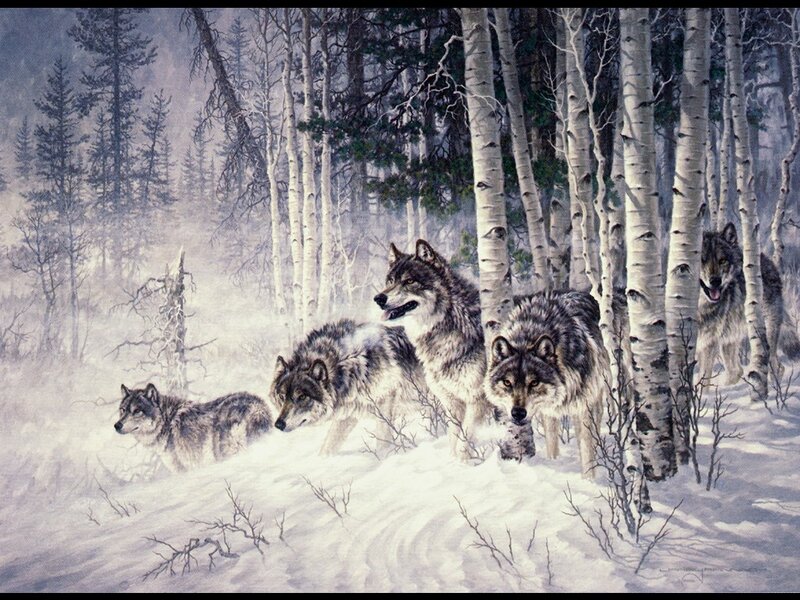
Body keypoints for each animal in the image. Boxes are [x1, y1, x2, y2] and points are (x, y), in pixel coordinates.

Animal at [114, 383, 271, 472]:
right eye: (123, 410)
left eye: (136, 411)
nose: (117, 425)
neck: (166, 422)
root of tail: (256, 407)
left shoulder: (181, 469)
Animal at [270, 319, 426, 455]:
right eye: (282, 396)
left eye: (302, 396)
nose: (278, 424)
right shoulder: (348, 415)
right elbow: (327, 447)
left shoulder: (385, 400)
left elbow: (383, 443)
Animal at [374, 239, 533, 461]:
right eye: (390, 280)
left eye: (409, 281)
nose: (378, 298)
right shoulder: (452, 403)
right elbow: (453, 439)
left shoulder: (477, 401)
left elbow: (464, 443)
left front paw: (463, 464)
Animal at [484, 291, 609, 478]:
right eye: (507, 382)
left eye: (534, 382)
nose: (518, 413)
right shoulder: (549, 412)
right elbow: (552, 445)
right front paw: (554, 463)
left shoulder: (585, 407)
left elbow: (587, 450)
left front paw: (589, 481)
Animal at [697, 222, 799, 385]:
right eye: (702, 260)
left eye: (722, 261)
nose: (715, 281)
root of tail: (766, 260)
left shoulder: (708, 343)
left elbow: (702, 380)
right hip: (729, 338)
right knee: (736, 370)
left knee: (776, 366)